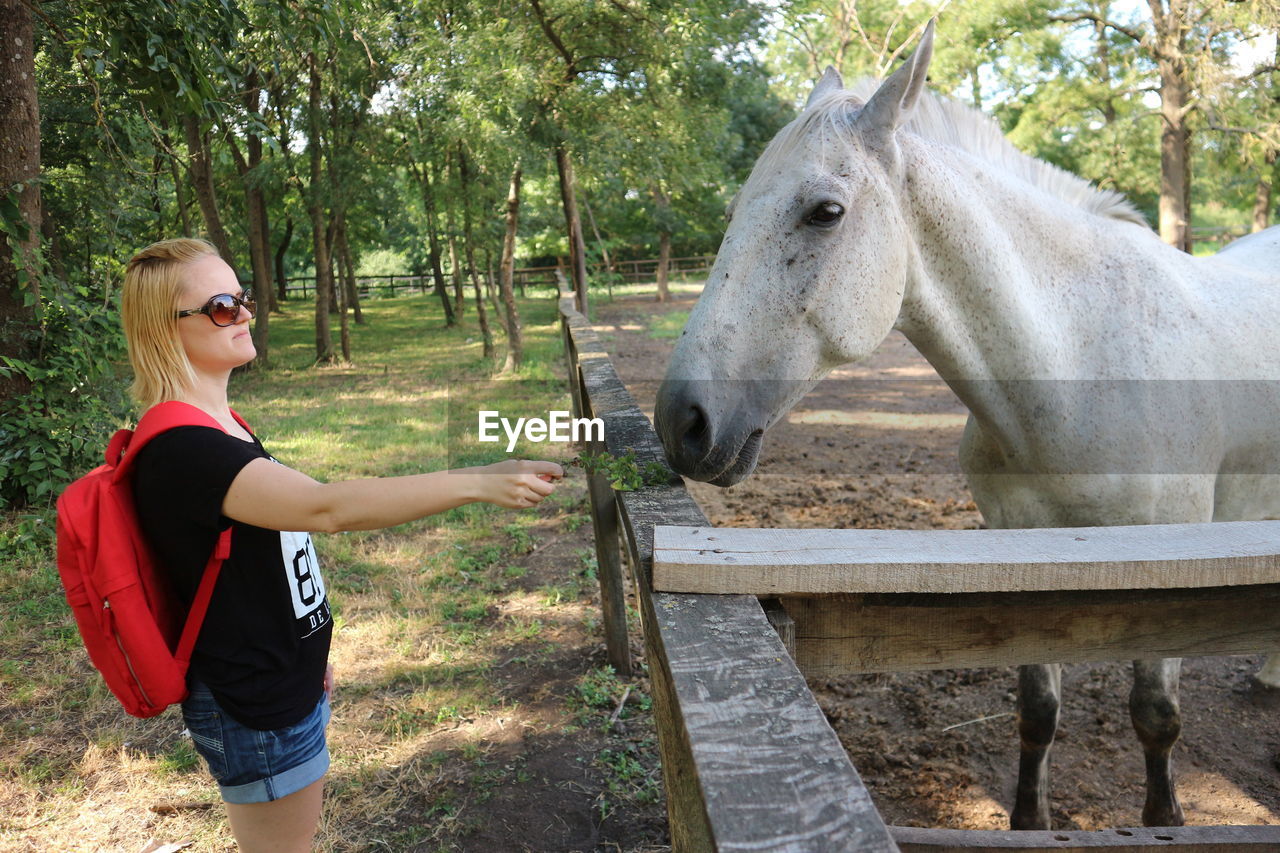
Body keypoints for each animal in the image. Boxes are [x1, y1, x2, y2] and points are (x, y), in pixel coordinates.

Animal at [655, 19, 1280, 829]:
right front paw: (1030, 821)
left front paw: (1165, 820)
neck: (1082, 366)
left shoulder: (1173, 567)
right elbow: (1038, 712)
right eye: (733, 215)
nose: (681, 421)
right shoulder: (1025, 553)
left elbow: (1156, 718)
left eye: (824, 211)